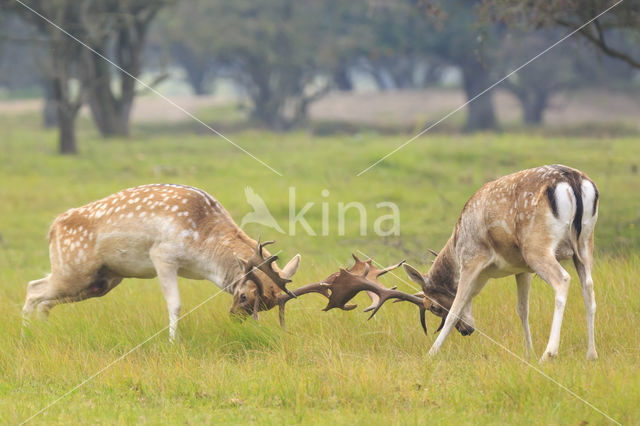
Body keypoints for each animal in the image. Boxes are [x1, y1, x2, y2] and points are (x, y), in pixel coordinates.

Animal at [402, 165, 604, 362]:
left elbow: (456, 307)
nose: (466, 330)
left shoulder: (471, 258)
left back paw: (549, 354)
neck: (456, 247)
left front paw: (430, 353)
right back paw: (591, 354)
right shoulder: (522, 269)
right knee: (588, 286)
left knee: (562, 279)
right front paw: (529, 353)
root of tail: (572, 180)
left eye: (434, 307)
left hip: (536, 246)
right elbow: (523, 309)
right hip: (585, 243)